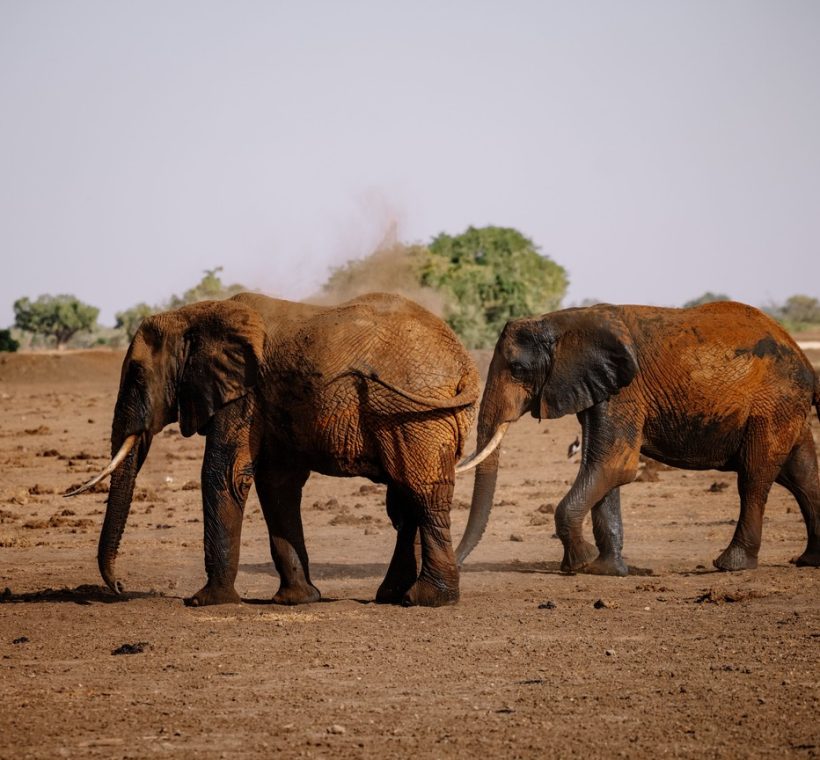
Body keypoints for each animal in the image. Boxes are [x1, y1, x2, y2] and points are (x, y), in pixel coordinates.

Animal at [67, 292, 479, 607]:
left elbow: (223, 474)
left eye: (137, 375)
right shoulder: (268, 403)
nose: (120, 587)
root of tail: (465, 365)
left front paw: (204, 602)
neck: (197, 314)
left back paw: (427, 600)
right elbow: (277, 487)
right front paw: (297, 600)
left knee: (423, 494)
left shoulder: (244, 394)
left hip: (415, 415)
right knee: (405, 499)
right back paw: (392, 596)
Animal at [455, 300, 820, 575]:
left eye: (517, 369)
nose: (456, 564)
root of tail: (802, 357)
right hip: (787, 408)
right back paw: (809, 561)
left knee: (754, 478)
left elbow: (612, 466)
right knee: (802, 477)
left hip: (773, 405)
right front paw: (606, 570)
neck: (560, 323)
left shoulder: (625, 391)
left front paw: (580, 564)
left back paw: (731, 565)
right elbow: (604, 469)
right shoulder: (599, 388)